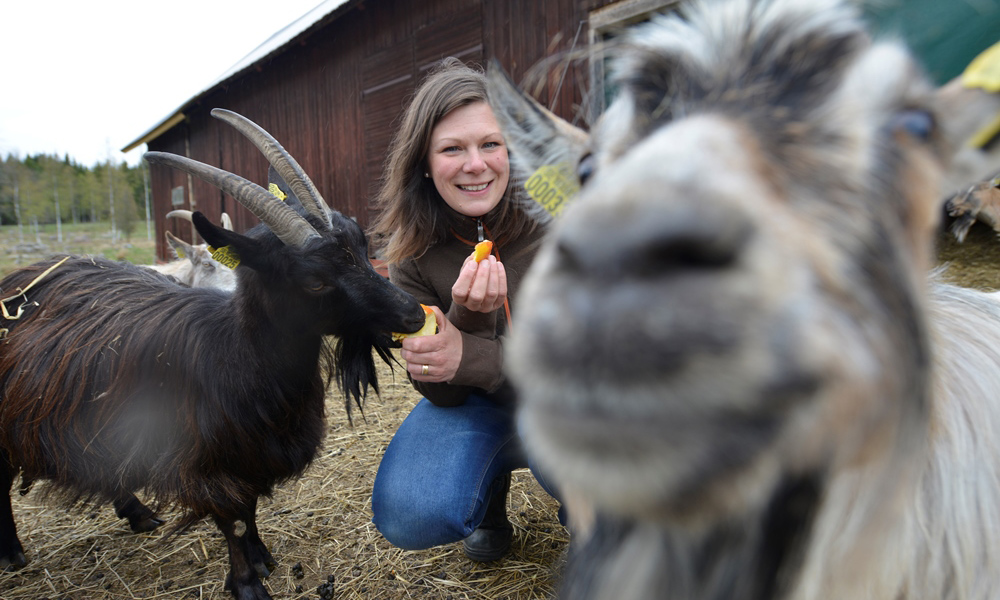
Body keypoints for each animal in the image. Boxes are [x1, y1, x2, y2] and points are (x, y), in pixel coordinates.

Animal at [0, 109, 426, 600]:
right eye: (315, 281)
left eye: (361, 245)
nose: (413, 314)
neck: (237, 353)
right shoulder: (206, 463)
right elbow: (232, 521)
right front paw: (246, 583)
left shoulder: (253, 452)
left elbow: (251, 508)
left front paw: (262, 557)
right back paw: (11, 553)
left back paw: (138, 514)